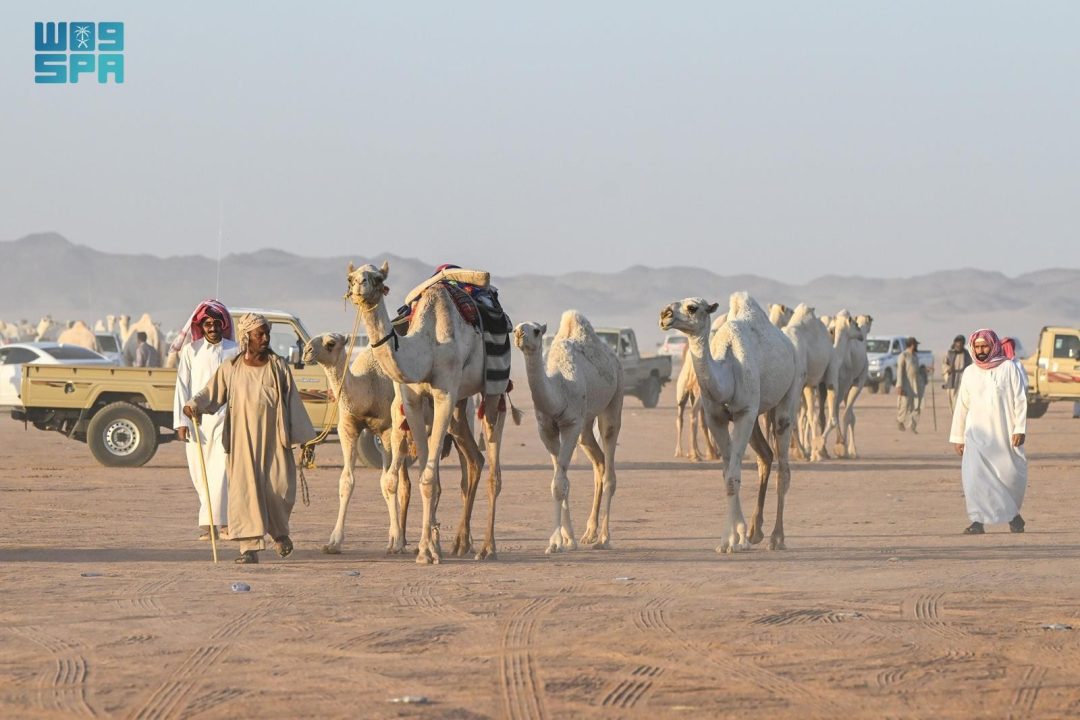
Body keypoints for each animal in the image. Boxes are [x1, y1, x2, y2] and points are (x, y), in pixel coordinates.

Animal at [346, 261, 515, 564]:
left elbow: (427, 478)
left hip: (493, 388)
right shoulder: (413, 401)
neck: (427, 347)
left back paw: (487, 548)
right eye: (351, 277)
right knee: (474, 459)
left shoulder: (444, 395)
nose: (359, 288)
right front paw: (429, 546)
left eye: (377, 278)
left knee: (493, 465)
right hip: (461, 404)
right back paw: (460, 543)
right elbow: (429, 478)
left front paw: (426, 551)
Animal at [514, 311, 624, 552]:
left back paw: (604, 538)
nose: (519, 334)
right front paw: (568, 539)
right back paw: (589, 533)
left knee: (610, 463)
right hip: (586, 423)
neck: (559, 389)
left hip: (615, 396)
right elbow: (561, 479)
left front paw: (555, 542)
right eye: (514, 327)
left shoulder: (571, 424)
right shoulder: (547, 429)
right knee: (599, 463)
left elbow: (559, 484)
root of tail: (612, 356)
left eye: (536, 330)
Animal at [660, 293, 801, 552]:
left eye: (692, 307)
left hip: (789, 394)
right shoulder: (716, 418)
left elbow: (733, 475)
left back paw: (777, 538)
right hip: (756, 415)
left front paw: (737, 539)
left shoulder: (744, 413)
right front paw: (731, 539)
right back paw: (756, 531)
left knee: (783, 468)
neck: (727, 375)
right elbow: (727, 474)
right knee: (765, 456)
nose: (664, 314)